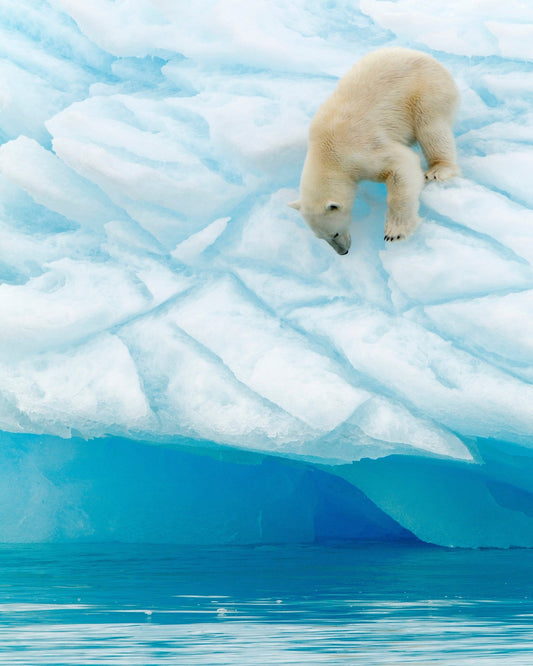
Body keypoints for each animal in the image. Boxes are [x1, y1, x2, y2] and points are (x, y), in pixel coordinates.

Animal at [288, 47, 460, 255]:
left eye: (334, 234)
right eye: (321, 238)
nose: (343, 252)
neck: (325, 153)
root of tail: (431, 59)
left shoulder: (360, 150)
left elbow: (402, 165)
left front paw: (395, 232)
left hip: (426, 91)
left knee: (431, 127)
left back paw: (438, 169)